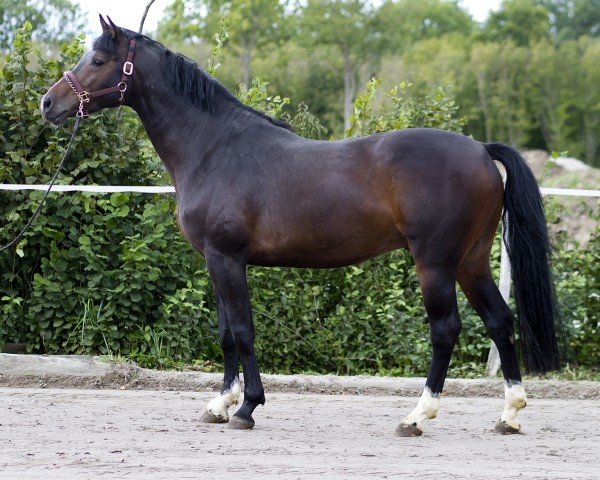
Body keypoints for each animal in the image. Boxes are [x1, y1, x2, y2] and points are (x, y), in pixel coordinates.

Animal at [39, 15, 560, 436]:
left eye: (99, 59)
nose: (48, 103)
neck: (213, 148)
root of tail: (481, 150)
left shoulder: (226, 259)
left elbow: (242, 331)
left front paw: (247, 408)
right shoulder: (216, 262)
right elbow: (225, 332)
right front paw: (219, 404)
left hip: (435, 263)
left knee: (445, 329)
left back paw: (417, 416)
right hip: (471, 261)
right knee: (499, 321)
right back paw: (510, 414)